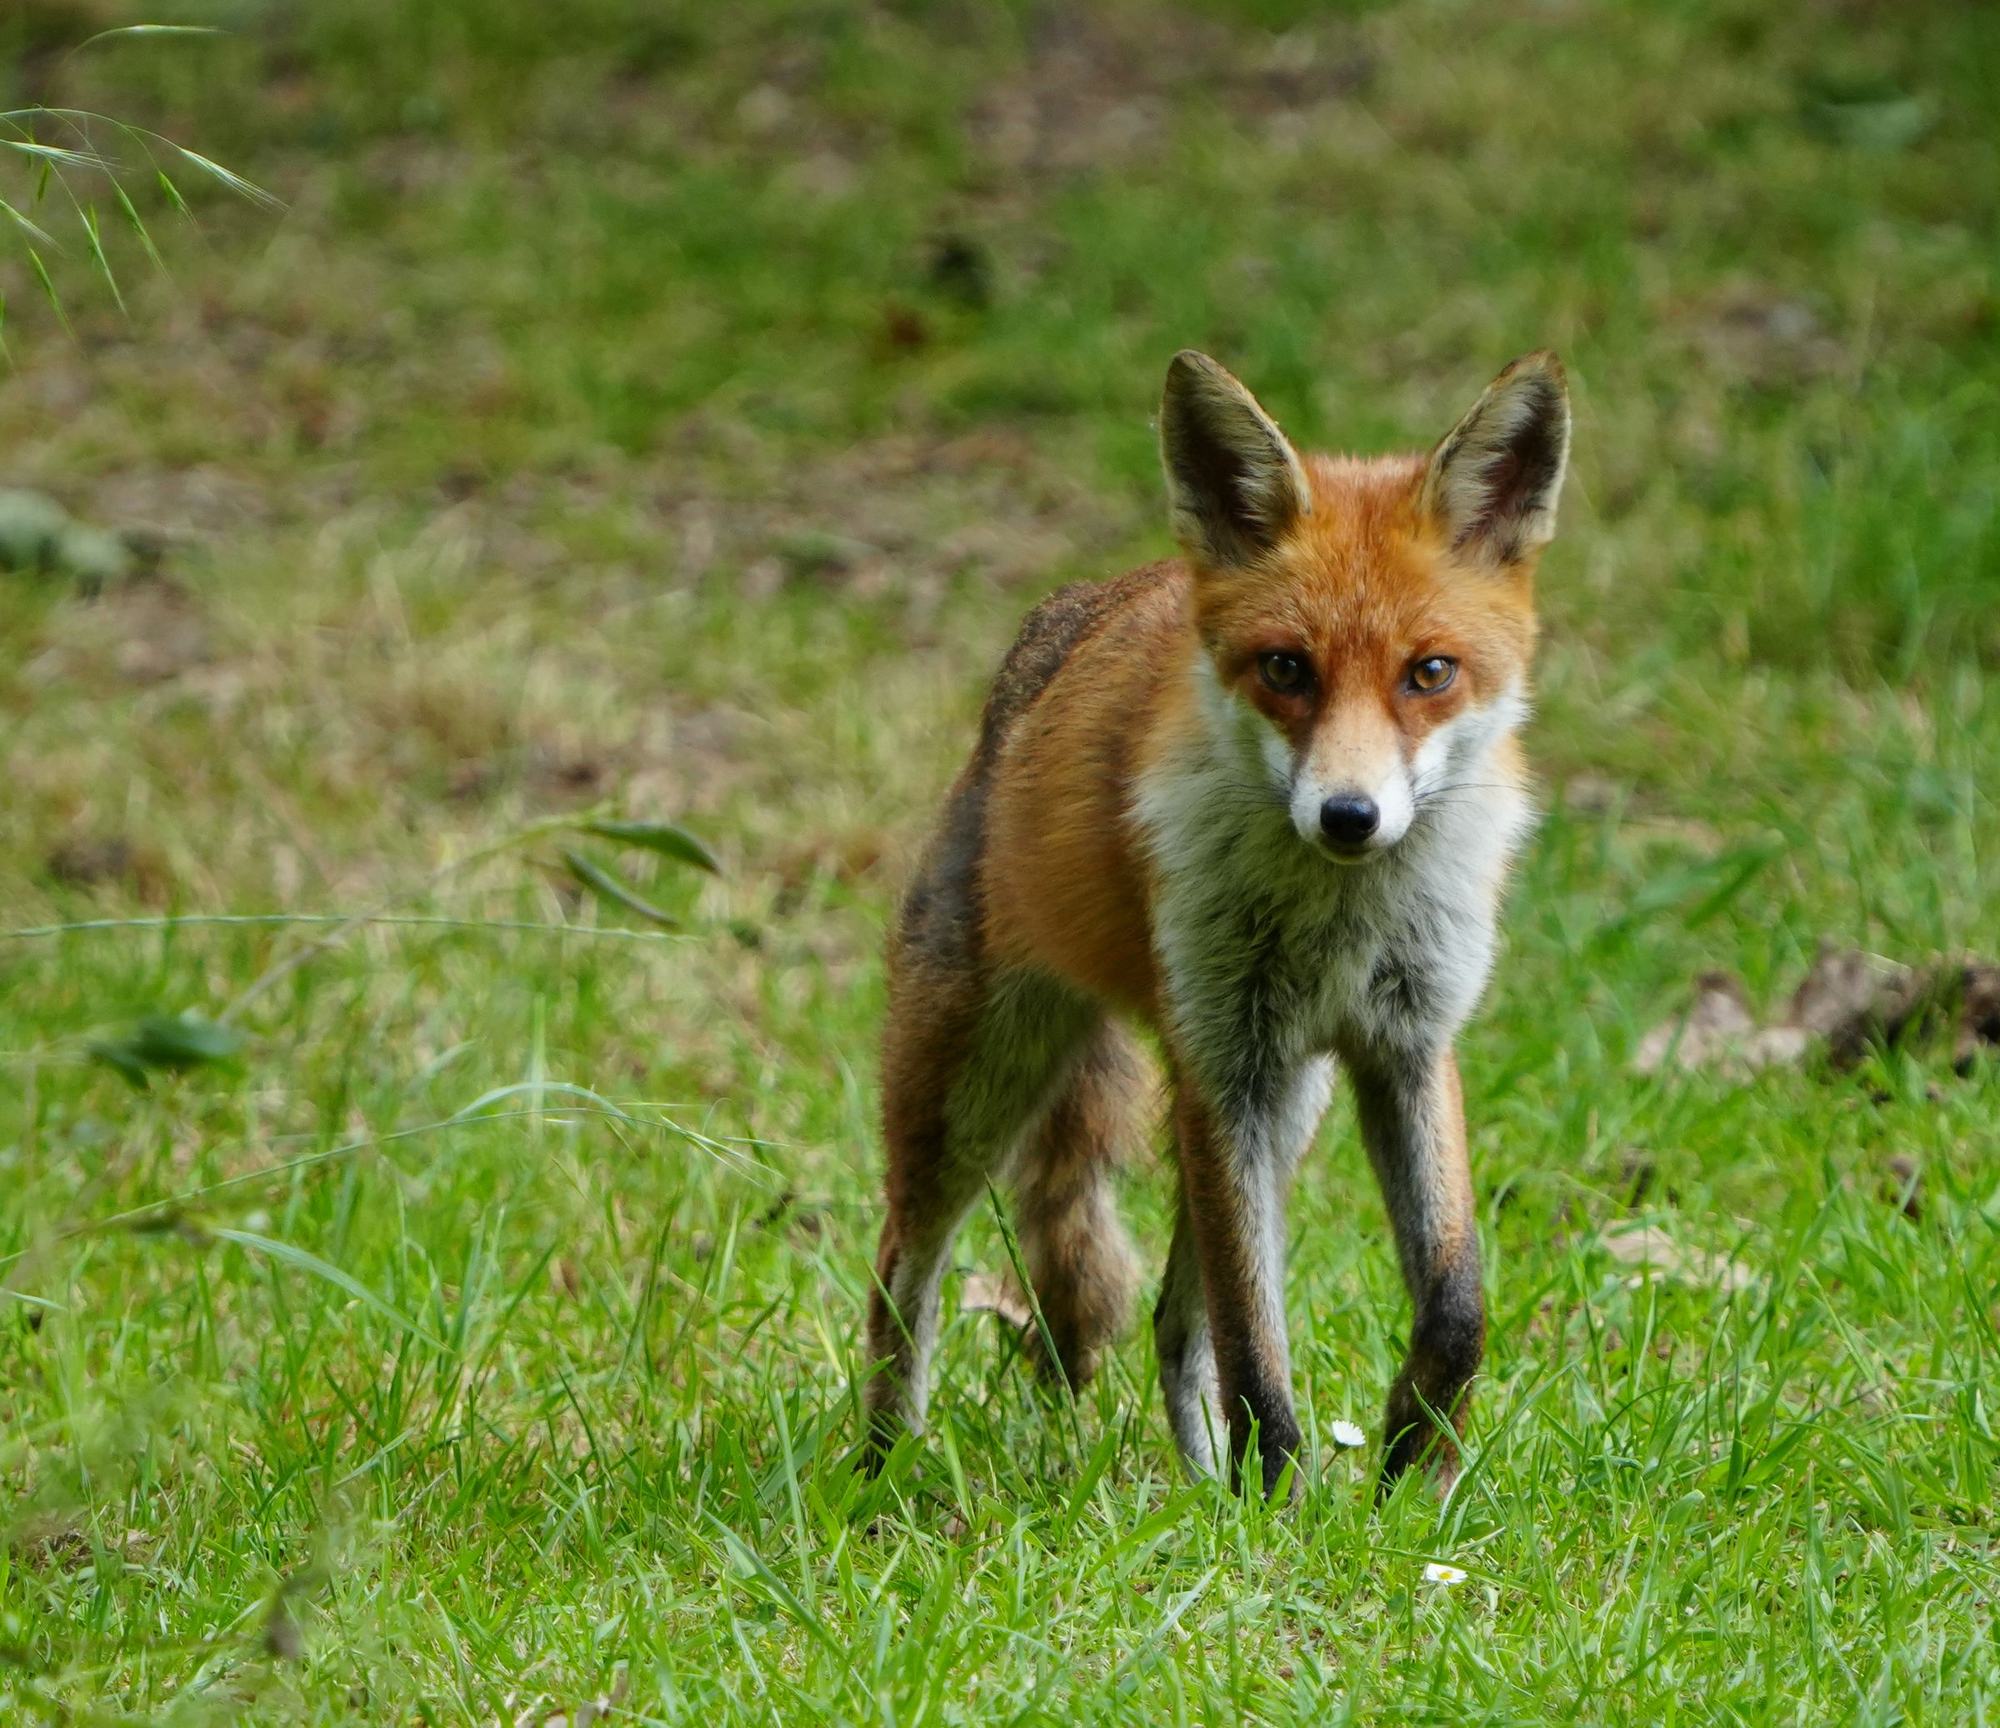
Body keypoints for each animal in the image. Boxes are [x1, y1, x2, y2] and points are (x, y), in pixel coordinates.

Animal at [862, 348, 1569, 1498]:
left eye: (1429, 673)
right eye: (1286, 668)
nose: (1348, 816)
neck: (1341, 920)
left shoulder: (1406, 1047)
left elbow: (1456, 1305)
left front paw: (1413, 1462)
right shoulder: (1224, 1059)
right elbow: (1253, 1347)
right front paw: (1285, 1503)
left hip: (1289, 1111)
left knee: (1168, 1320)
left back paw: (1202, 1495)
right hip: (978, 1088)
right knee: (902, 1275)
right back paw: (881, 1473)